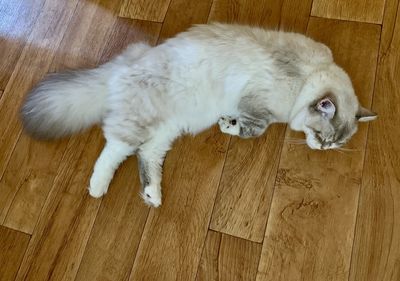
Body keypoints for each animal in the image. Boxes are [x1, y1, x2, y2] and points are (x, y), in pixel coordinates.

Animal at [20, 23, 376, 206]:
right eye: (322, 135)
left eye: (335, 143)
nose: (324, 148)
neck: (308, 75)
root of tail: (127, 62)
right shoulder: (257, 103)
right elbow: (252, 129)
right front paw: (228, 125)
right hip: (139, 124)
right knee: (113, 151)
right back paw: (97, 188)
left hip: (166, 130)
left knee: (146, 155)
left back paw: (152, 194)